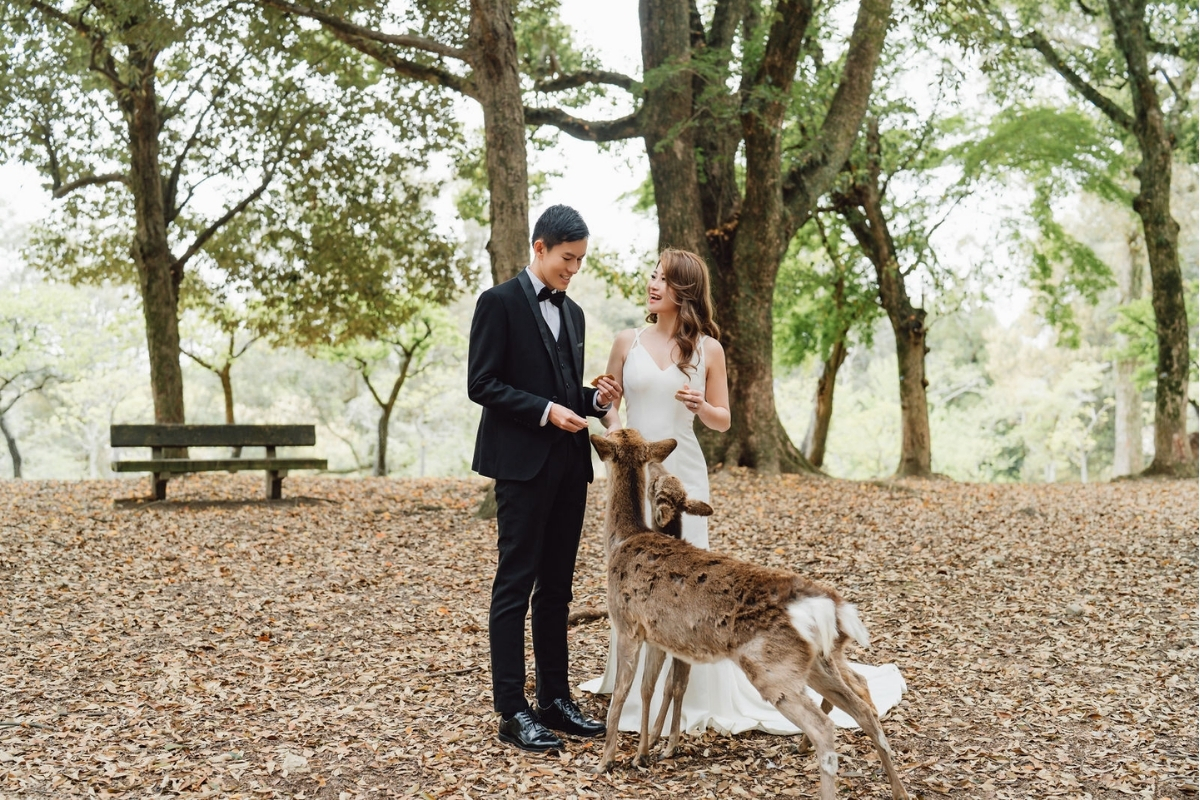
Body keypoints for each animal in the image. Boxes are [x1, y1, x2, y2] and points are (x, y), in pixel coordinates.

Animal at [590, 431, 907, 800]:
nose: (659, 466)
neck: (622, 540)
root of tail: (825, 606)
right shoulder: (657, 634)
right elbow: (648, 688)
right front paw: (642, 753)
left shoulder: (626, 622)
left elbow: (621, 693)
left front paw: (606, 761)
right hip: (818, 663)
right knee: (864, 711)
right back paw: (899, 790)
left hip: (773, 669)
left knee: (825, 729)